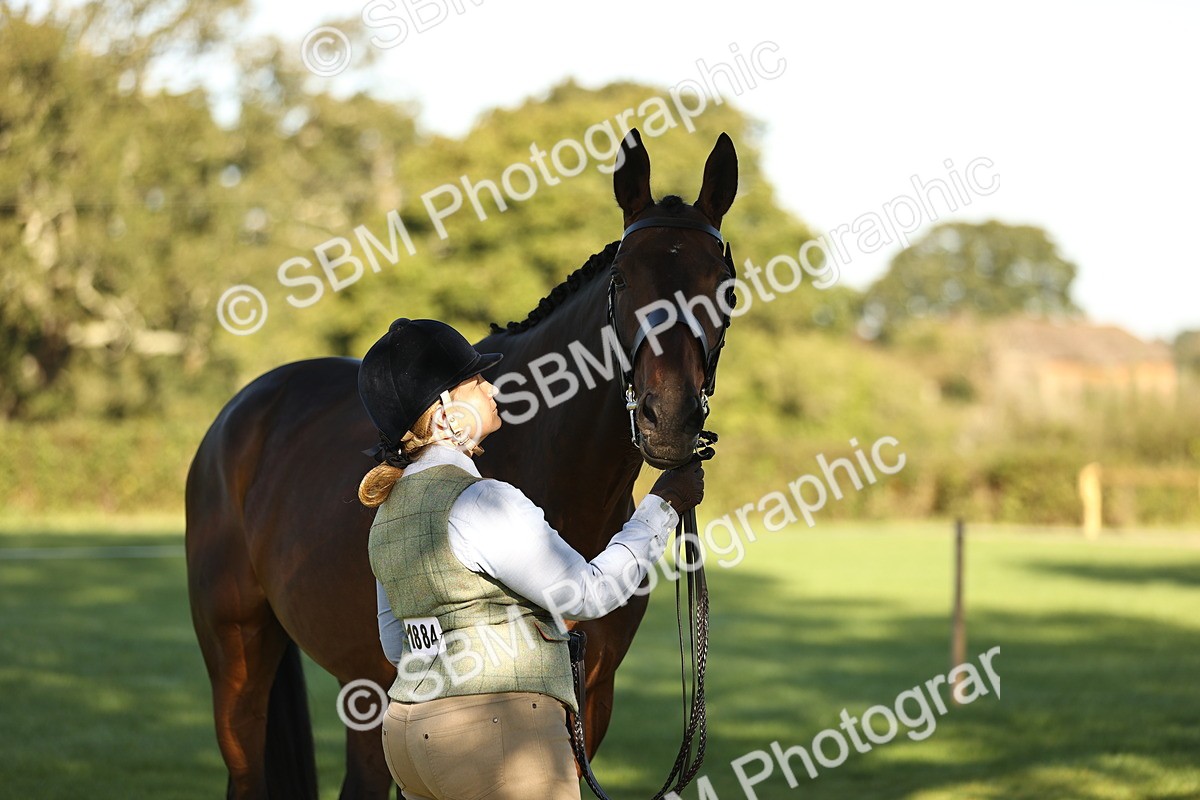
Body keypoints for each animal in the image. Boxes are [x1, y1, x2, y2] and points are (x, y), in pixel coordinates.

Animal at [185, 127, 738, 799]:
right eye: (623, 280)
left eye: (723, 284)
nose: (669, 418)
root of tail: (243, 409)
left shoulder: (591, 704)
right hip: (240, 658)